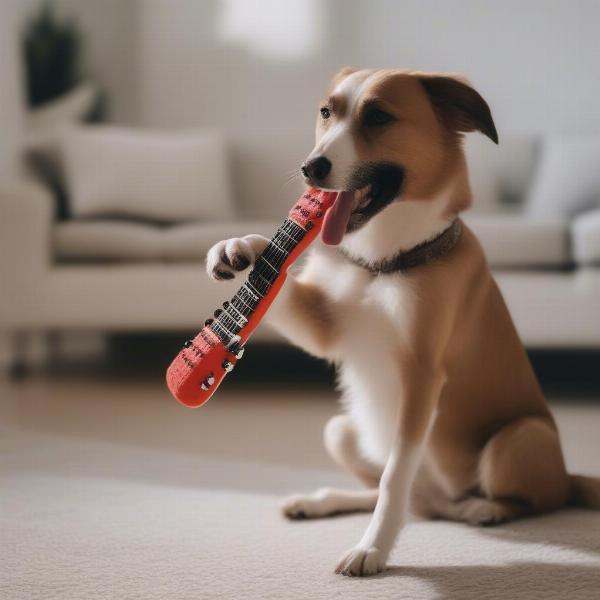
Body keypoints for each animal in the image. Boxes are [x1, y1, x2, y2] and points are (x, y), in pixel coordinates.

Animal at [206, 69, 600, 576]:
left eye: (378, 117)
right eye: (326, 112)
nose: (310, 168)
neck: (381, 264)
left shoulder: (421, 375)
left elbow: (395, 475)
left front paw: (372, 548)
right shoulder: (328, 328)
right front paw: (239, 247)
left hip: (518, 438)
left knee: (526, 500)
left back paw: (485, 508)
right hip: (341, 430)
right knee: (399, 497)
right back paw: (320, 501)